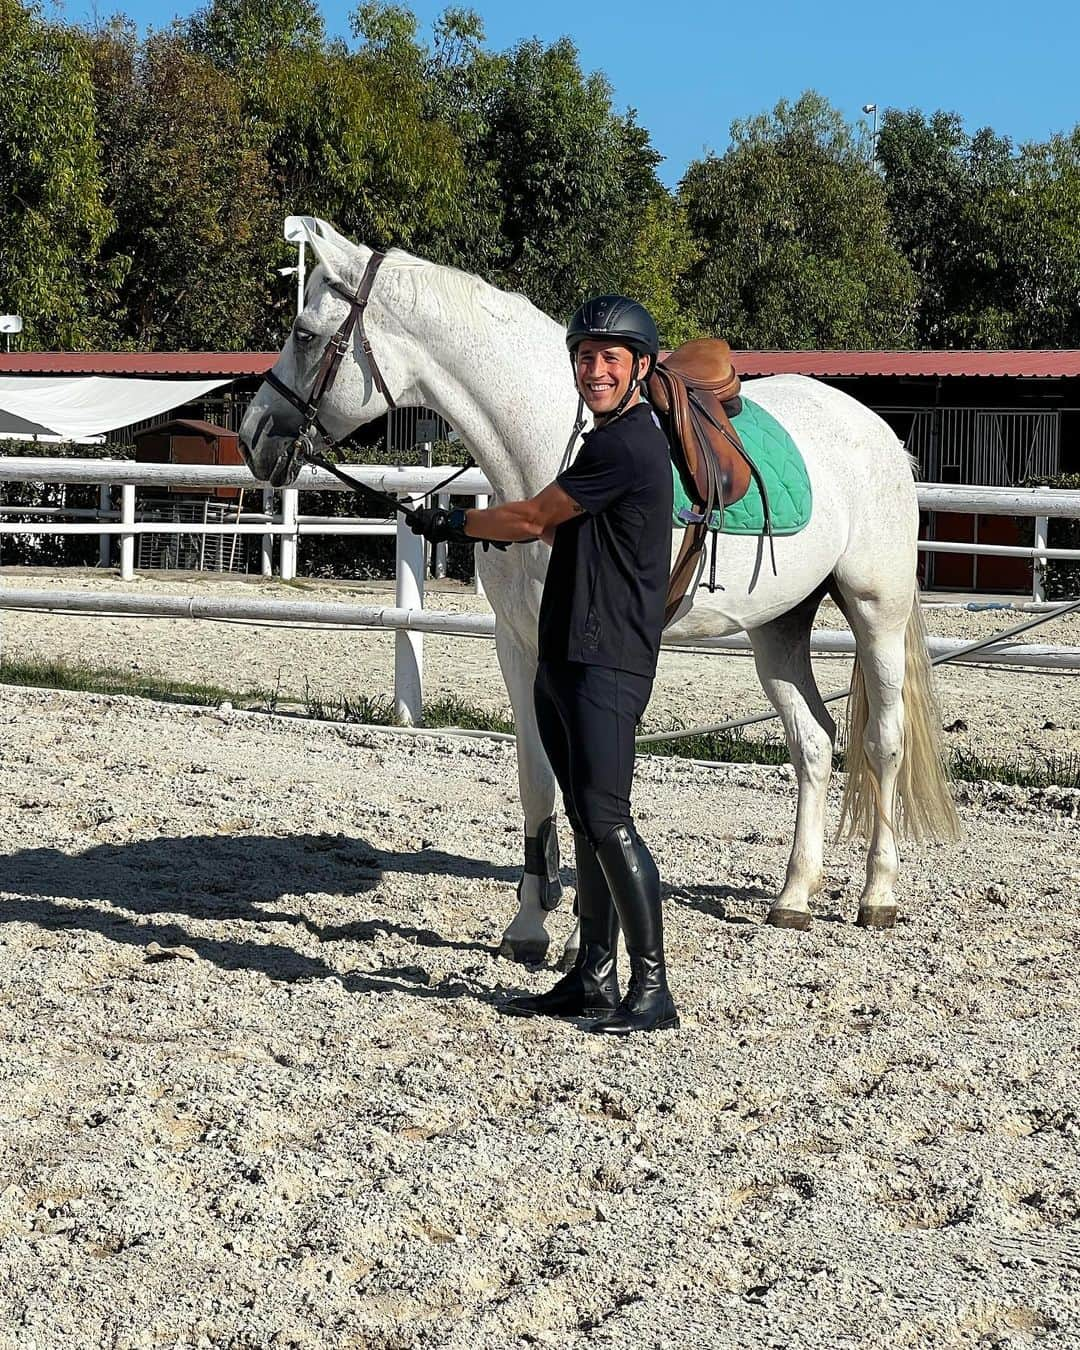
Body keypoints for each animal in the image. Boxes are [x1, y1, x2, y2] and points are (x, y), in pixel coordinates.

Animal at [238, 218, 955, 961]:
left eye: (304, 332)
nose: (253, 436)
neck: (551, 449)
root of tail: (878, 433)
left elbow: (592, 785)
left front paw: (587, 925)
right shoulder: (520, 645)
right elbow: (537, 777)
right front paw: (531, 924)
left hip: (876, 613)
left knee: (882, 744)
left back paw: (877, 896)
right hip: (778, 626)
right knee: (812, 743)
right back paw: (792, 898)